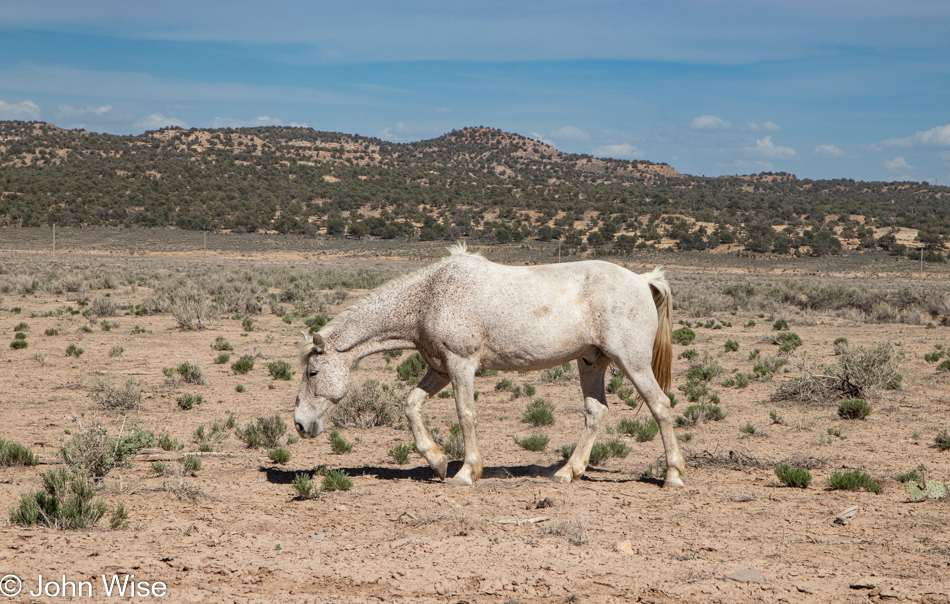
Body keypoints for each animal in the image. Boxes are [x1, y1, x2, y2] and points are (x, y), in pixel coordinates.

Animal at [294, 243, 688, 488]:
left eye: (313, 372)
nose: (300, 424)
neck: (430, 296)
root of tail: (642, 279)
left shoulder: (460, 365)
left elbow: (465, 414)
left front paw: (466, 473)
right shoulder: (439, 369)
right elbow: (411, 405)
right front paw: (437, 461)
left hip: (632, 362)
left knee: (660, 406)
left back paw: (673, 476)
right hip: (591, 363)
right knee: (596, 413)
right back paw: (567, 472)